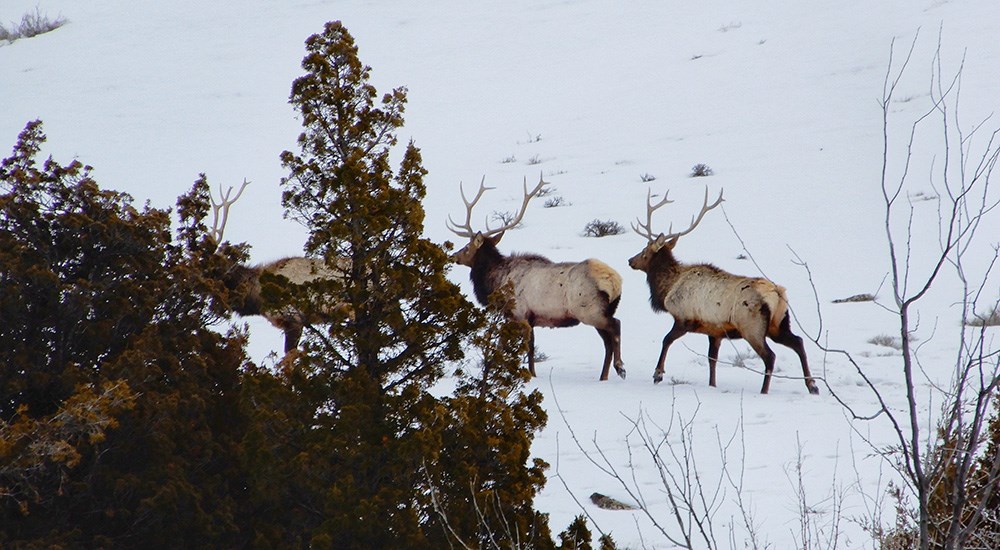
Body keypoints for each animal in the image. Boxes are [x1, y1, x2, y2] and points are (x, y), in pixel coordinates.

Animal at [448, 175, 624, 382]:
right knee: (607, 343)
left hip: (589, 310)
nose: (454, 256)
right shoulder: (530, 319)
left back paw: (620, 367)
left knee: (615, 326)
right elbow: (530, 348)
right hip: (600, 311)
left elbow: (516, 346)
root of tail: (615, 282)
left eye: (467, 247)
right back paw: (603, 377)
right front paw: (532, 373)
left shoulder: (518, 313)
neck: (495, 282)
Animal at [624, 190, 820, 396]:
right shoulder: (715, 330)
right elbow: (712, 359)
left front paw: (658, 374)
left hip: (752, 327)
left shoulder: (684, 319)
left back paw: (764, 391)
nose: (630, 260)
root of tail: (777, 294)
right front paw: (712, 385)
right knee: (798, 342)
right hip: (779, 324)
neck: (667, 288)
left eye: (644, 250)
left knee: (770, 356)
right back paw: (812, 385)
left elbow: (666, 340)